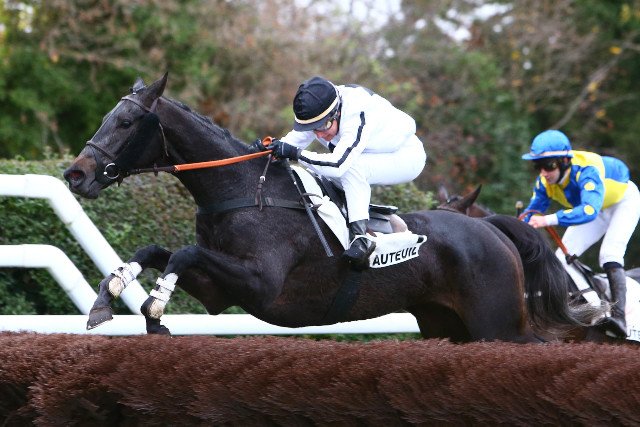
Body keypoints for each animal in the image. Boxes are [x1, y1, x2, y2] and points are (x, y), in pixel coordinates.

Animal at [63, 73, 599, 343]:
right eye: (109, 115)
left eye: (126, 121)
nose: (76, 174)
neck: (244, 189)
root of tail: (493, 231)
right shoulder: (221, 290)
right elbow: (157, 250)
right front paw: (110, 296)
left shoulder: (261, 283)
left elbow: (181, 255)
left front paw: (153, 303)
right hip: (447, 325)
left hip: (498, 323)